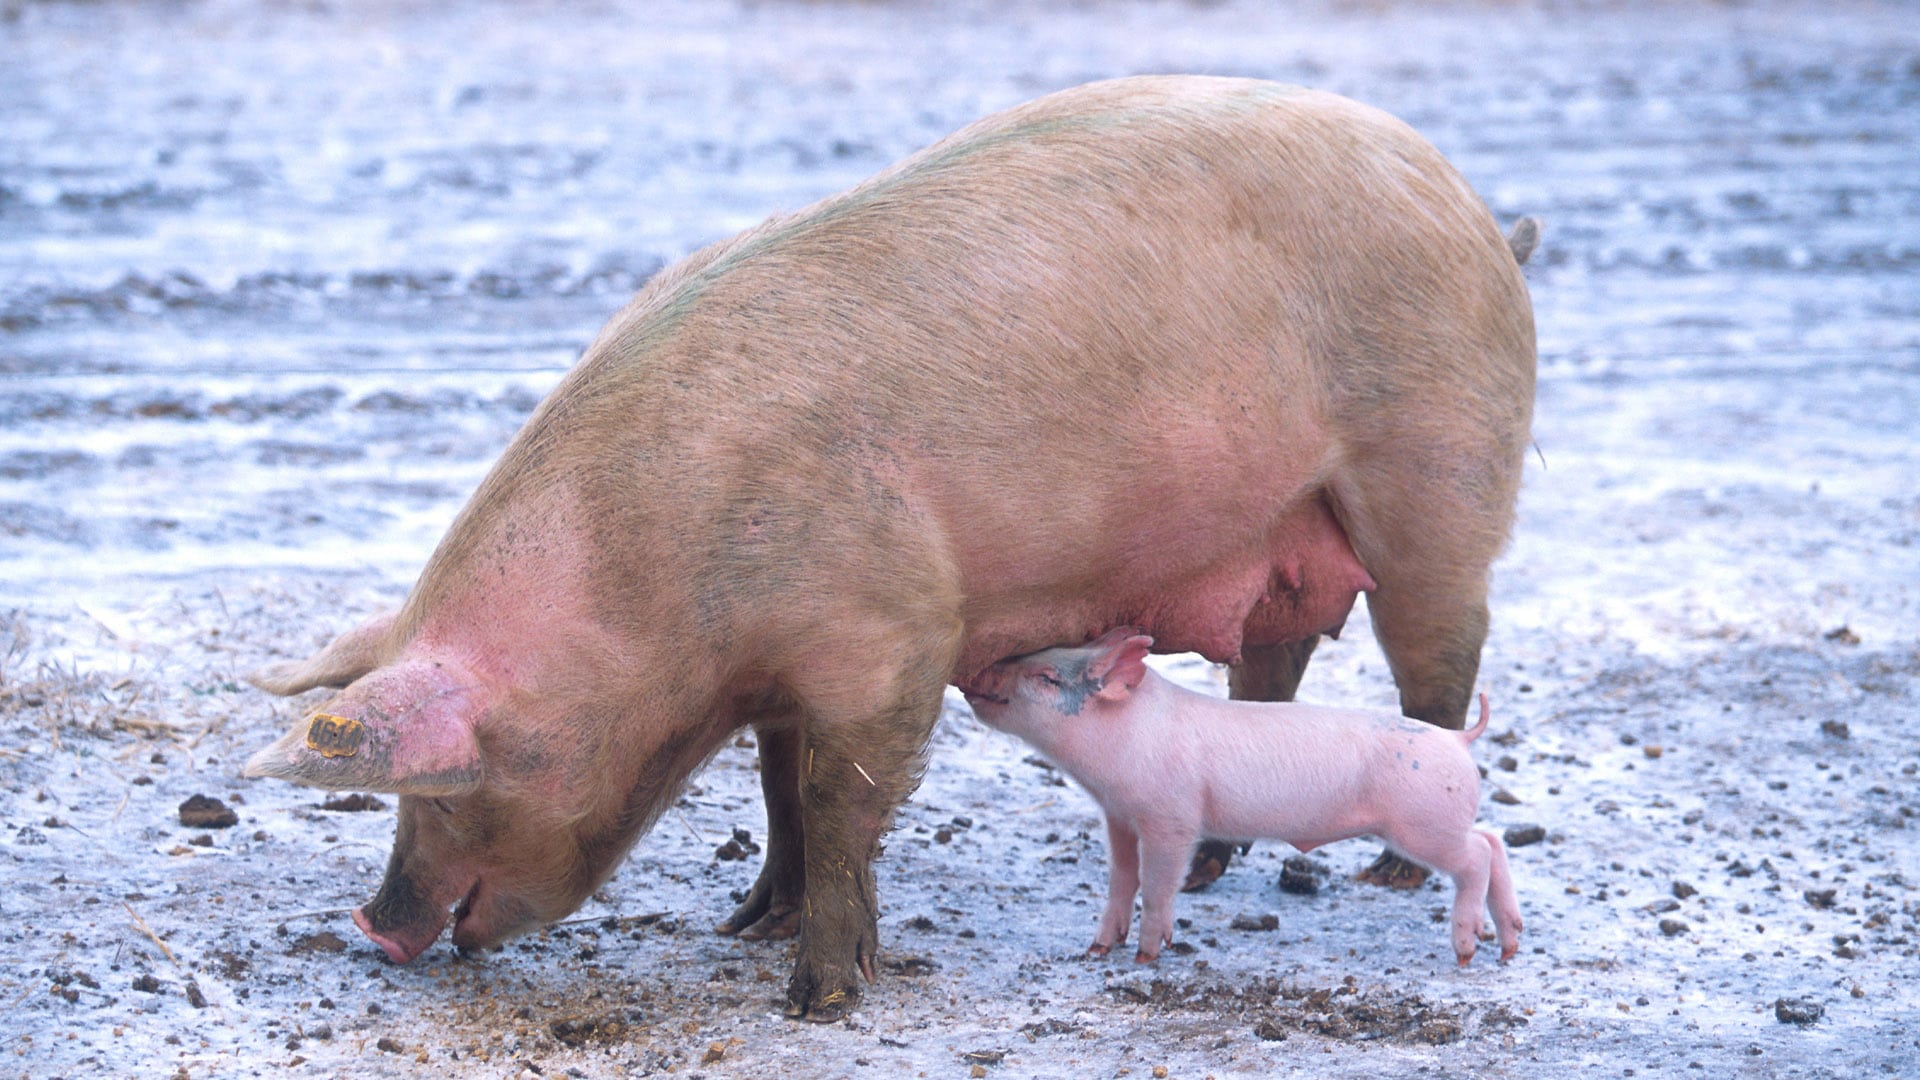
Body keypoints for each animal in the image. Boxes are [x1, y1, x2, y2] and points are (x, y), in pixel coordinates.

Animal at [967, 626, 1520, 960]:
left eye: (1046, 677)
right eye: (1038, 655)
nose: (977, 672)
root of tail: (1457, 738)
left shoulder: (1172, 817)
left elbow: (1159, 882)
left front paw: (1147, 956)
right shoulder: (1120, 816)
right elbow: (1121, 879)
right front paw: (1098, 949)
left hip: (1423, 823)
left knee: (1476, 855)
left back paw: (1467, 950)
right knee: (1493, 840)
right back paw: (1508, 945)